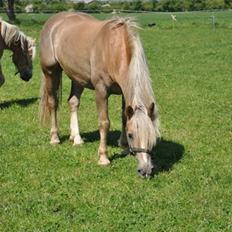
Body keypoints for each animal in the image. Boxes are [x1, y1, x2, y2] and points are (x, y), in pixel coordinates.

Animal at [40, 12, 160, 178]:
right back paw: (55, 138)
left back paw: (76, 138)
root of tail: (54, 21)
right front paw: (103, 157)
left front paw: (123, 145)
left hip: (78, 77)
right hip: (51, 72)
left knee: (73, 102)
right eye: (131, 135)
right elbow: (104, 123)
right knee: (53, 102)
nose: (145, 170)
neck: (113, 50)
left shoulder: (124, 91)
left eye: (152, 136)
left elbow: (124, 116)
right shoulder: (101, 91)